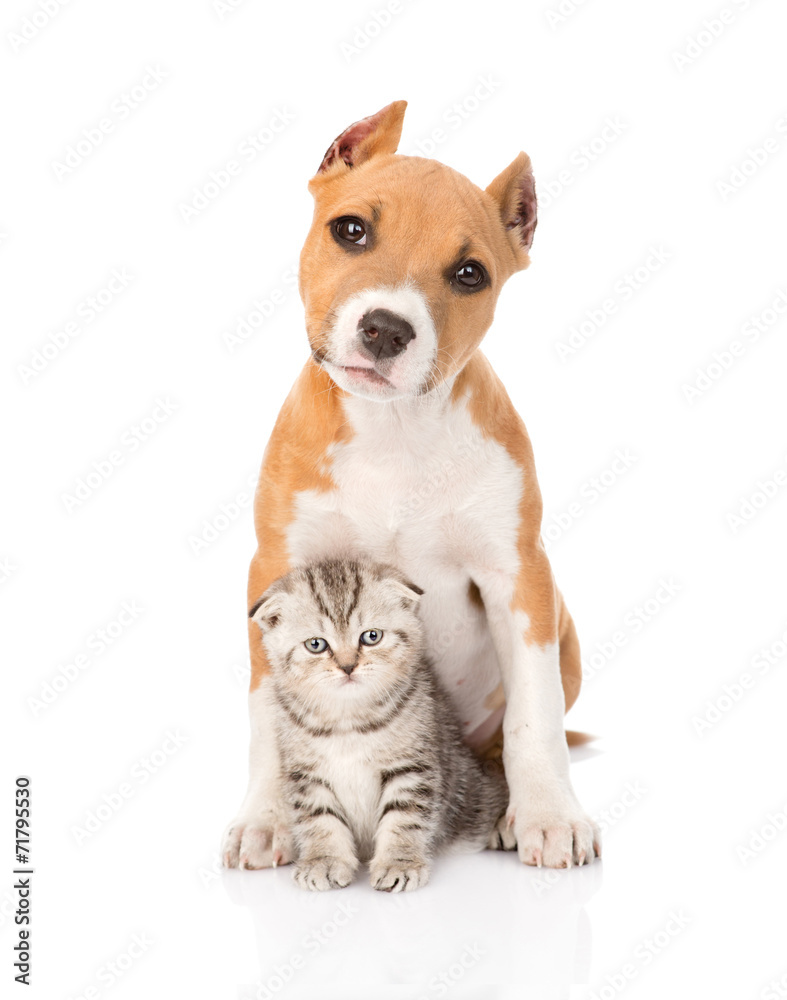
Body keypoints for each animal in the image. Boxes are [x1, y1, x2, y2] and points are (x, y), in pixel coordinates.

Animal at [249, 560, 516, 896]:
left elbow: (403, 819)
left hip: (471, 791)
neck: (347, 718)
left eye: (371, 636)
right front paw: (323, 860)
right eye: (316, 645)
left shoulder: (411, 766)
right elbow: (320, 820)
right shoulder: (306, 775)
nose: (348, 667)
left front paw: (399, 863)